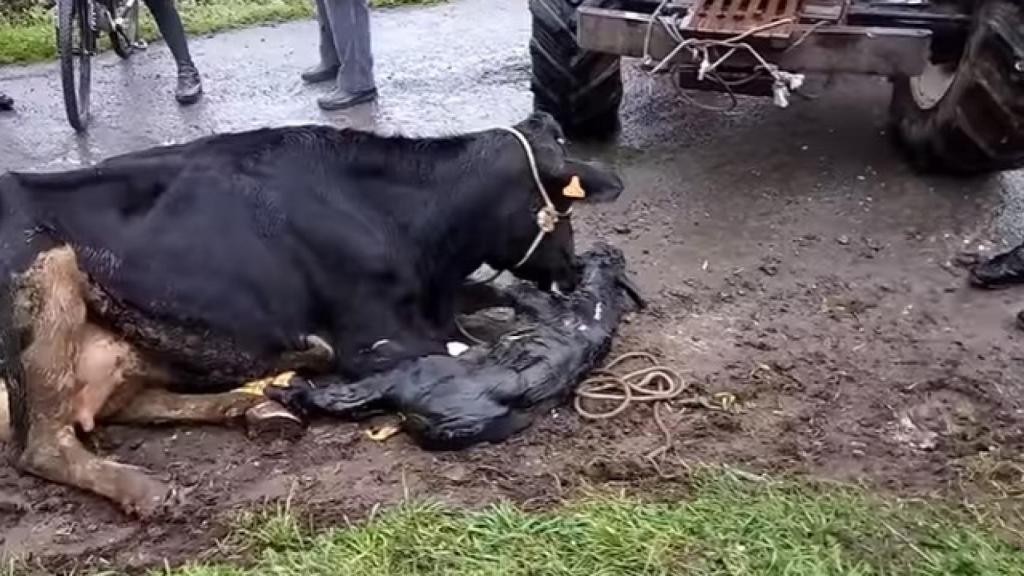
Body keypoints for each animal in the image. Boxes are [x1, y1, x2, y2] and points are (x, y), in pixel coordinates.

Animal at [0, 111, 622, 510]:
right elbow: (467, 355)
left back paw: (255, 407)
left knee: (127, 404)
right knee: (44, 444)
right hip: (46, 282)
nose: (573, 268)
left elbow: (493, 299)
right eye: (565, 204)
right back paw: (147, 488)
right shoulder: (375, 338)